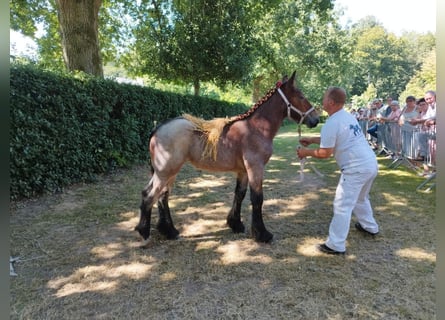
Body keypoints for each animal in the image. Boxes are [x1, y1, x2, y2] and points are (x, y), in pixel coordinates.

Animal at [134, 71, 318, 244]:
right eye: (301, 96)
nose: (316, 119)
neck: (256, 128)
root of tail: (158, 128)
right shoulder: (255, 167)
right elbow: (257, 198)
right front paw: (262, 234)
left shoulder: (243, 171)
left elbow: (240, 194)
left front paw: (235, 224)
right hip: (165, 172)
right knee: (149, 195)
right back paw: (145, 232)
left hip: (169, 172)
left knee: (162, 196)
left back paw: (169, 231)